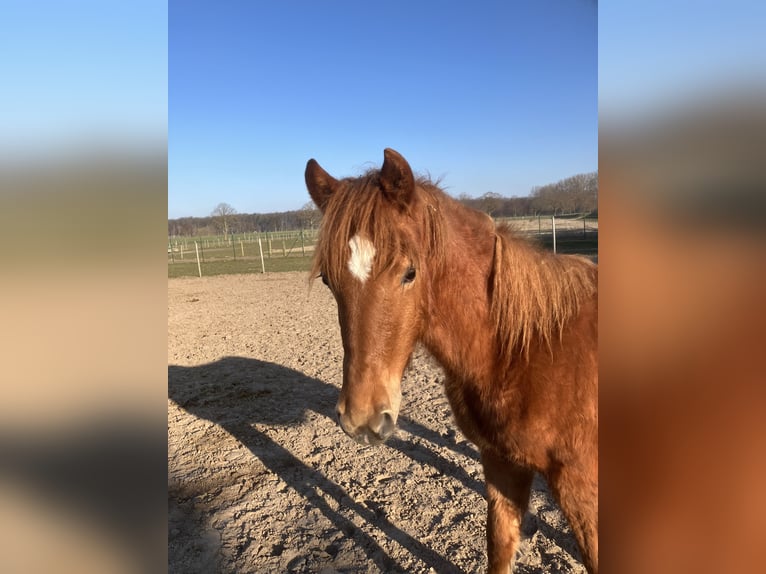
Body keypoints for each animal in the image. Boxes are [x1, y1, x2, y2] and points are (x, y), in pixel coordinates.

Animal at [306, 150, 600, 574]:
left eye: (410, 272)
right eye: (328, 280)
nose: (361, 419)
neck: (529, 349)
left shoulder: (582, 489)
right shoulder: (501, 464)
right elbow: (499, 547)